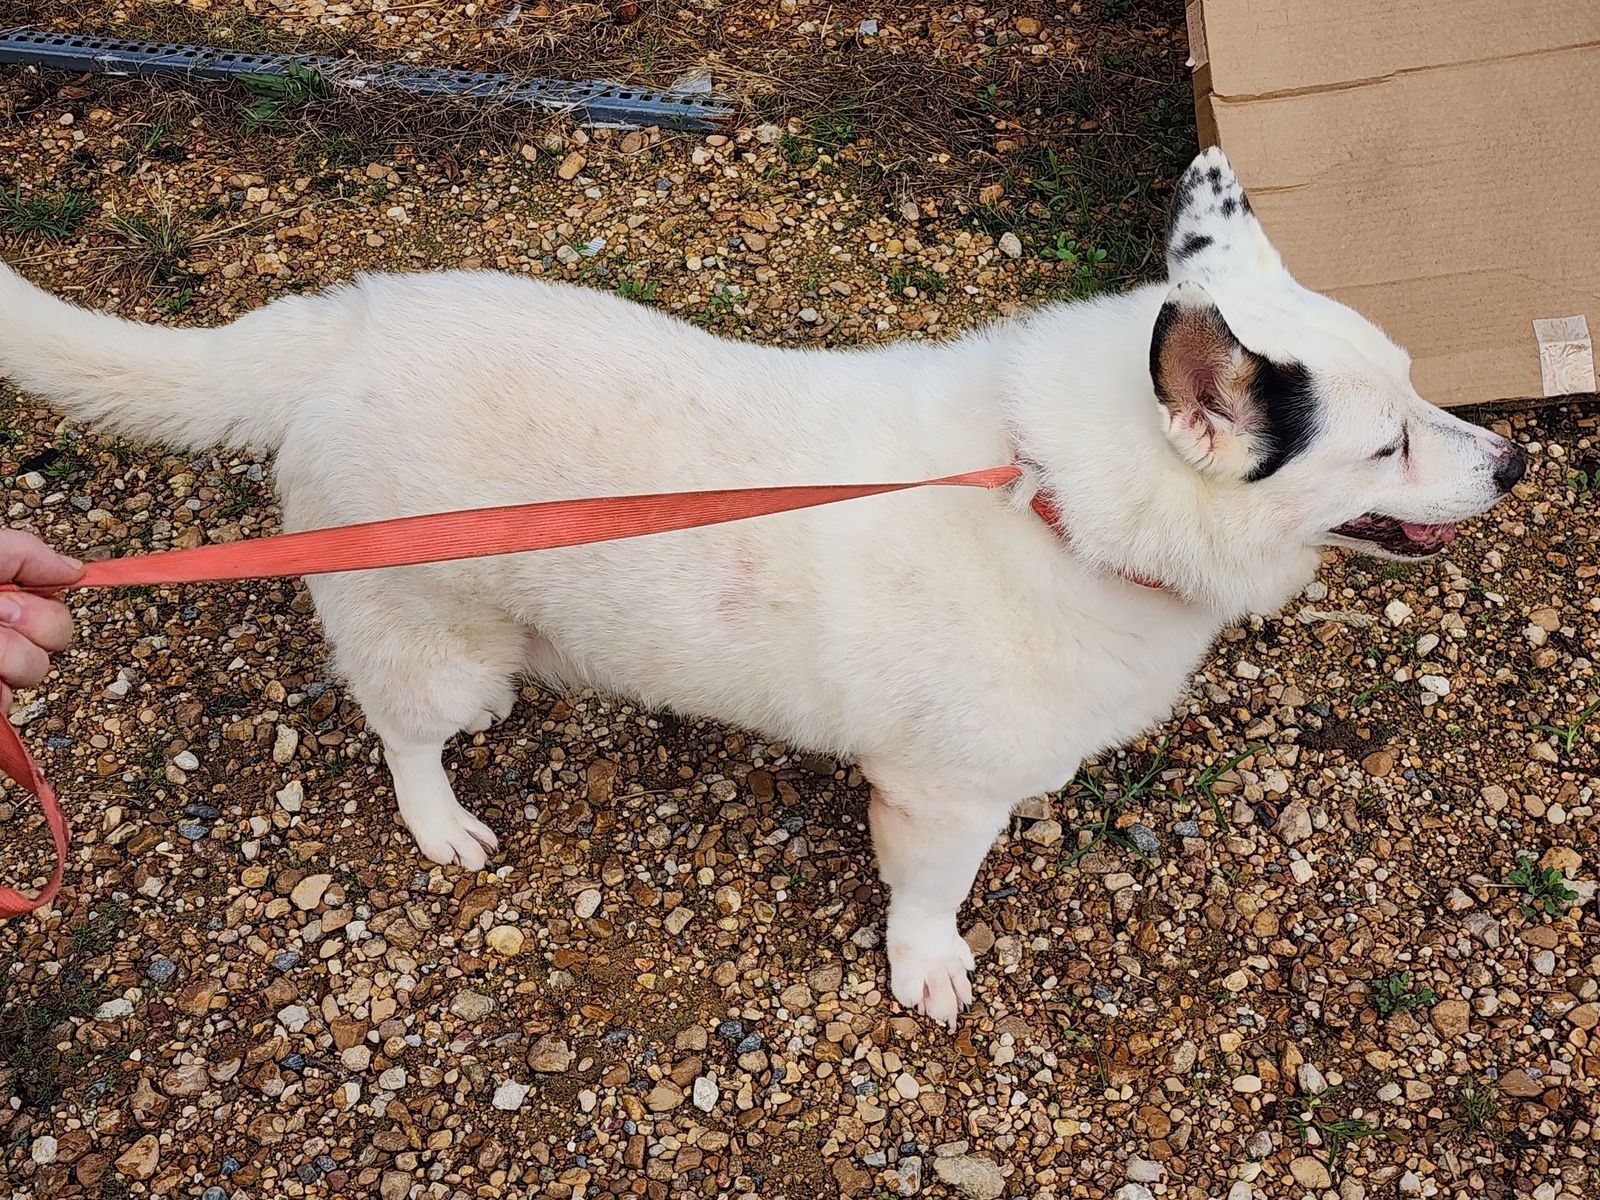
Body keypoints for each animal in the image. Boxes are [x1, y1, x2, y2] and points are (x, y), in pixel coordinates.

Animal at [0, 150, 1523, 1030]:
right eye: (1383, 445)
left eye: (1421, 390)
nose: (1514, 461)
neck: (1047, 493)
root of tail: (331, 331)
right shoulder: (934, 797)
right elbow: (928, 902)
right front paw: (927, 966)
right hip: (431, 638)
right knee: (401, 731)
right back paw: (440, 820)